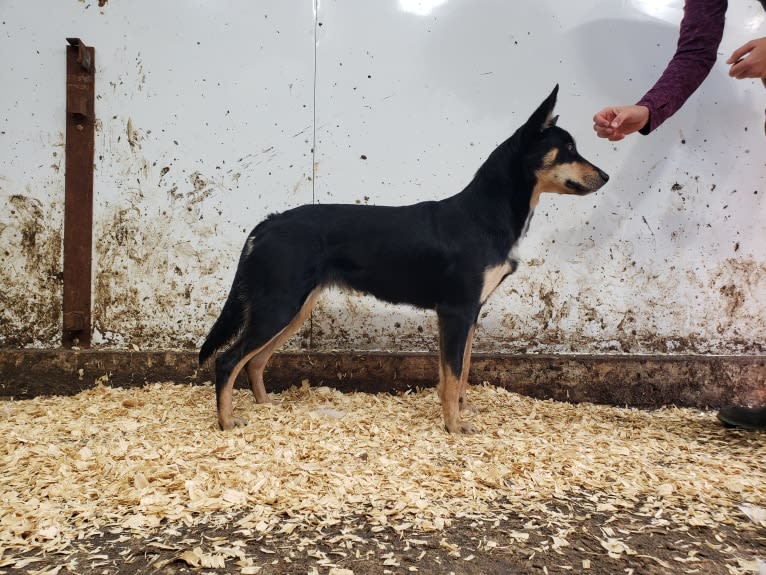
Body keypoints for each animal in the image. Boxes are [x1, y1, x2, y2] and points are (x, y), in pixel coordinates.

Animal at [201, 86, 608, 432]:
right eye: (568, 149)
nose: (604, 176)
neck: (483, 215)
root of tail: (268, 223)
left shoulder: (468, 314)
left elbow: (458, 373)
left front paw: (461, 413)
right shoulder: (456, 311)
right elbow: (453, 375)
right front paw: (455, 427)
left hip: (293, 310)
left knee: (254, 361)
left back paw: (266, 406)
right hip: (279, 307)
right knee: (227, 361)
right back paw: (227, 422)